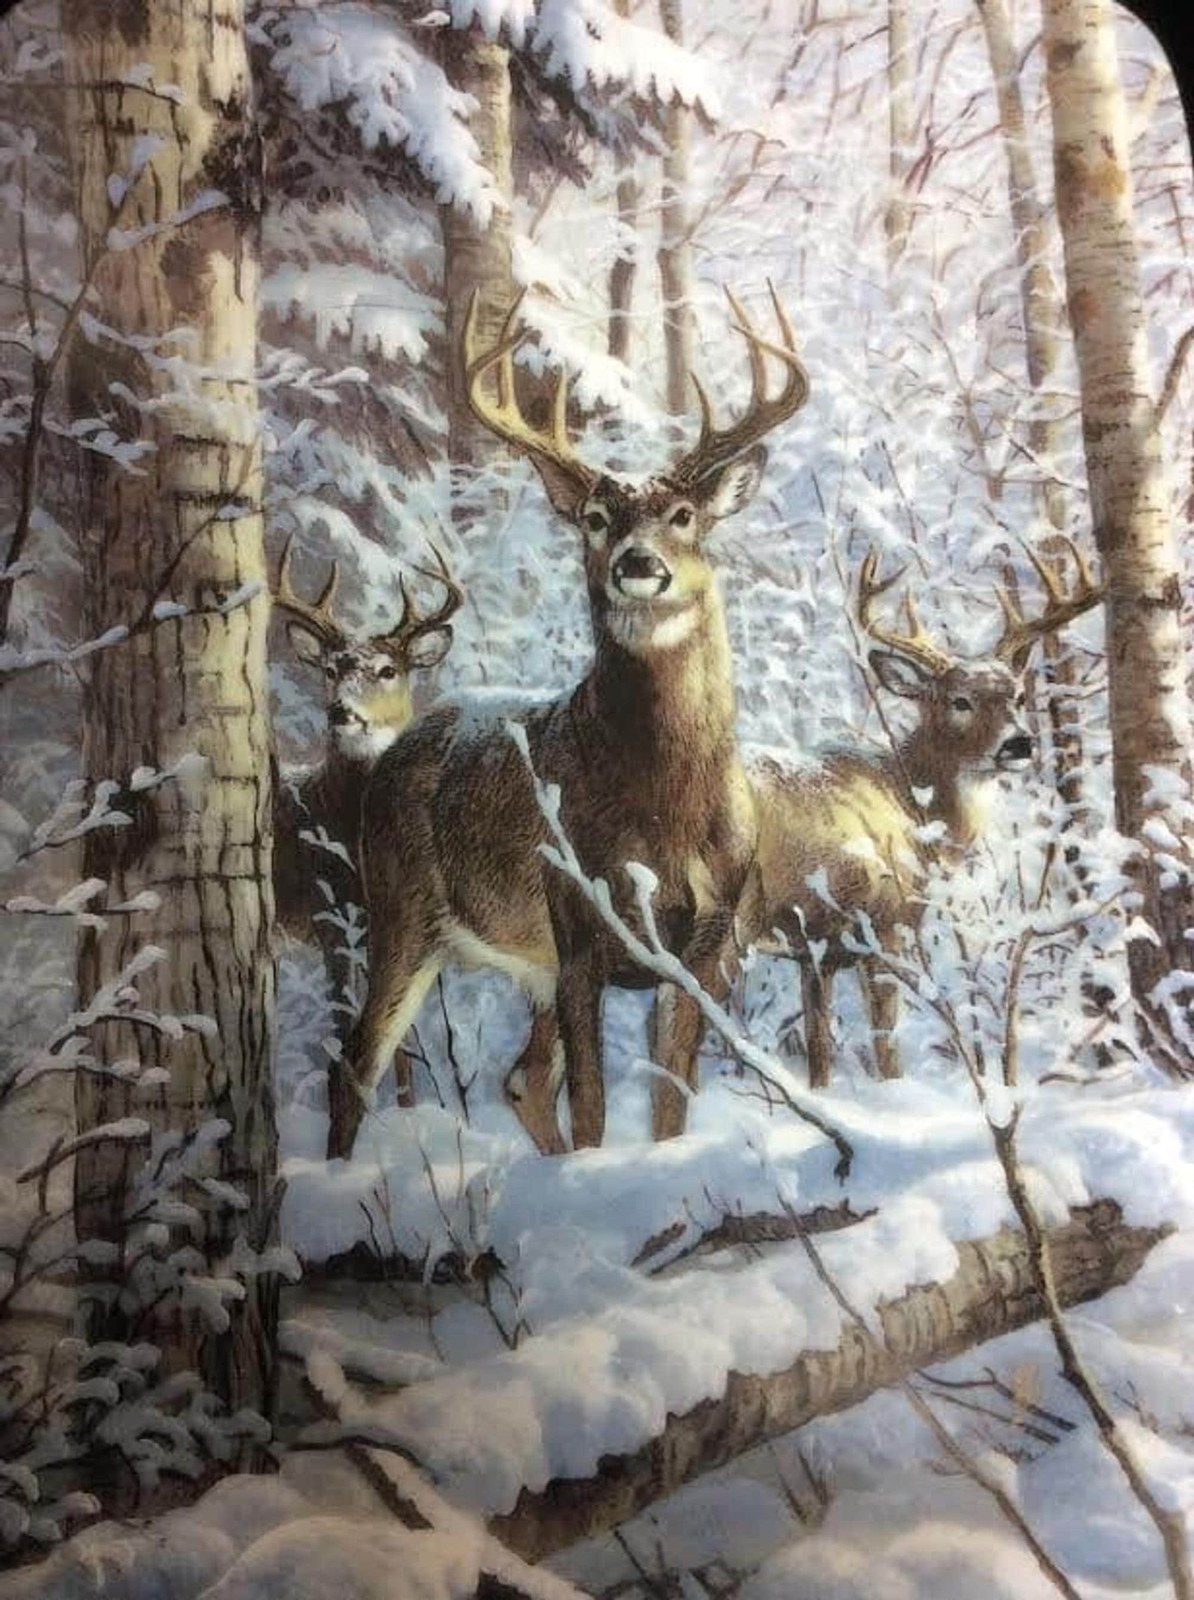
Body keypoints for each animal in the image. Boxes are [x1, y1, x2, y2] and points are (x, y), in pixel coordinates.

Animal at [325, 285, 810, 1160]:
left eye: (683, 514)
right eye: (593, 516)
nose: (638, 564)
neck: (666, 811)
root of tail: (395, 751)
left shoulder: (705, 938)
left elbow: (669, 1102)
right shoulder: (578, 922)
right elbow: (593, 1110)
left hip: (525, 965)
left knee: (520, 1080)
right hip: (403, 910)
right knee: (355, 1066)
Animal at [742, 538, 1105, 1088]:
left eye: (1018, 695)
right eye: (960, 700)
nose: (1019, 743)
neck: (911, 804)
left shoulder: (816, 950)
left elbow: (819, 1052)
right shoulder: (884, 924)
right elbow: (885, 1049)